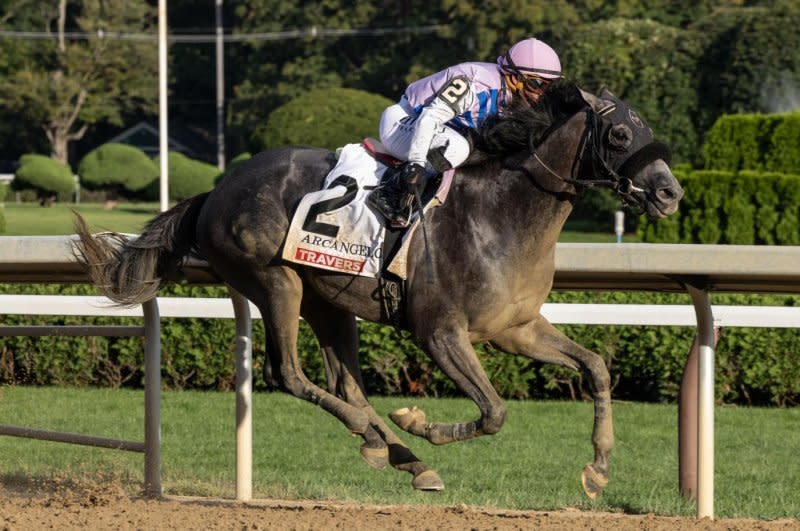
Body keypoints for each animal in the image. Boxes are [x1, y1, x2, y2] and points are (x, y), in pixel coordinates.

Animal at [73, 82, 680, 498]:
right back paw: (381, 436)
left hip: (328, 298)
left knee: (345, 384)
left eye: (647, 129)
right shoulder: (440, 332)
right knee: (288, 373)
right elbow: (494, 412)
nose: (670, 193)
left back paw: (401, 456)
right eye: (621, 134)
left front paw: (598, 468)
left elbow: (595, 367)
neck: (502, 213)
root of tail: (216, 191)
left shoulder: (516, 328)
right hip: (274, 281)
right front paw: (421, 422)